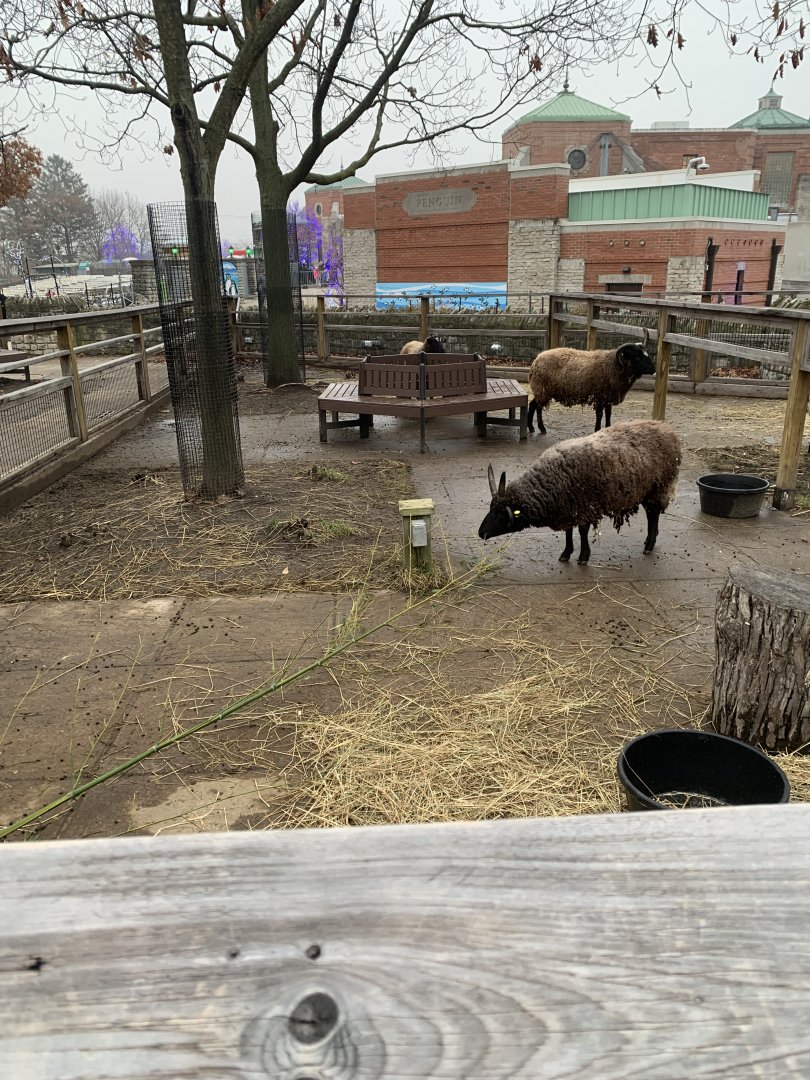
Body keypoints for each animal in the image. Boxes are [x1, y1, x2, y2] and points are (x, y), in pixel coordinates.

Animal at [478, 419, 681, 565]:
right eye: (490, 508)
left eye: (500, 514)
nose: (481, 533)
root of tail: (667, 429)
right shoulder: (568, 507)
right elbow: (569, 531)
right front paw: (566, 553)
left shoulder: (585, 506)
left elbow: (582, 531)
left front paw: (583, 556)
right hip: (647, 489)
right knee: (651, 514)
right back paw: (649, 542)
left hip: (659, 486)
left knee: (654, 513)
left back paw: (649, 545)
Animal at [527, 330, 655, 435]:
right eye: (637, 356)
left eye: (647, 353)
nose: (653, 369)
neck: (614, 365)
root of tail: (535, 361)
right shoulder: (599, 397)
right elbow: (599, 415)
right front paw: (597, 430)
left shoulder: (608, 398)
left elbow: (608, 414)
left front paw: (608, 428)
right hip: (541, 390)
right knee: (535, 406)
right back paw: (538, 428)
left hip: (542, 391)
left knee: (535, 406)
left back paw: (536, 428)